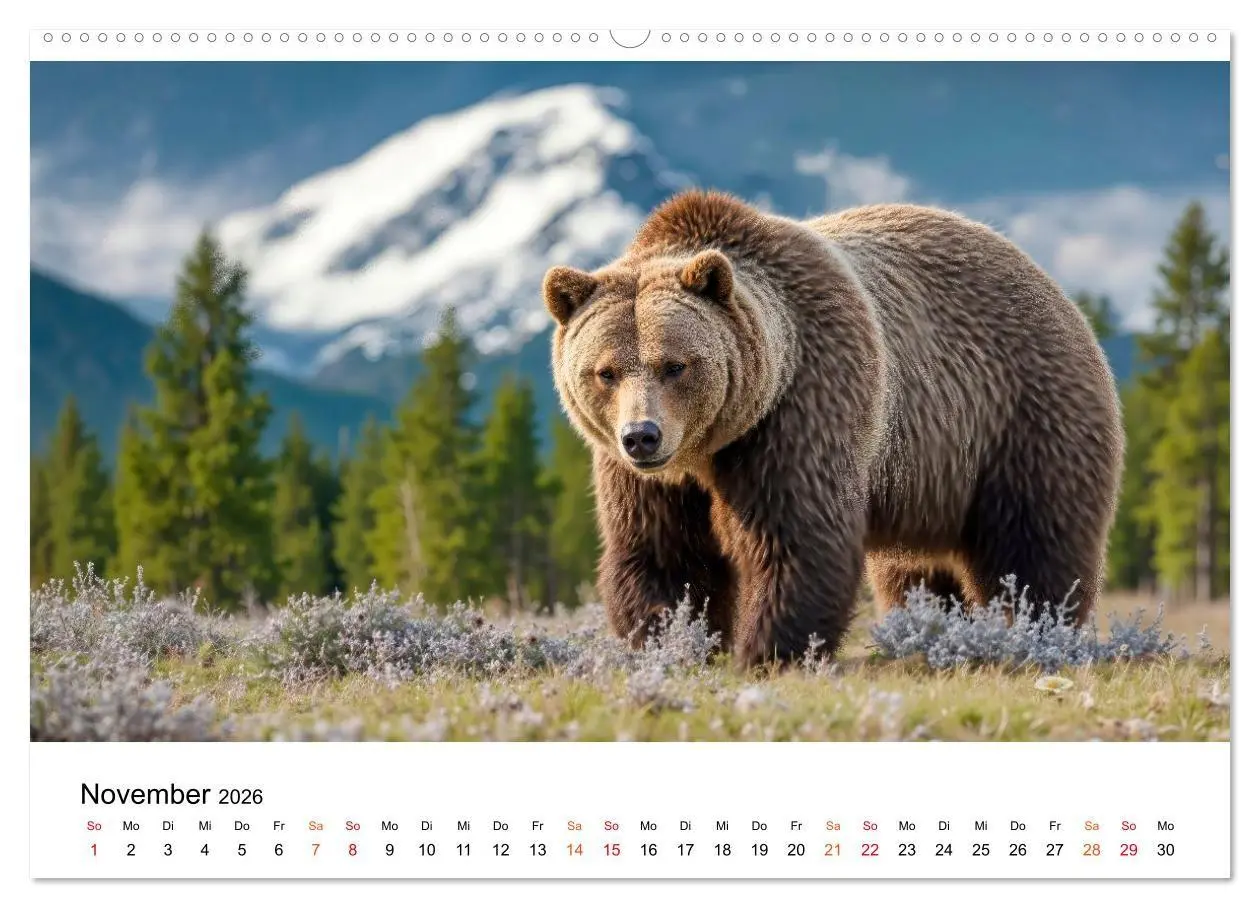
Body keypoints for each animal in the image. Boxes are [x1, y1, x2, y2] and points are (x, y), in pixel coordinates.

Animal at [542, 190, 1124, 667]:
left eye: (675, 365)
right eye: (606, 371)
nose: (642, 435)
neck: (709, 448)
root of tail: (1056, 290)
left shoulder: (804, 404)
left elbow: (795, 537)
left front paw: (767, 652)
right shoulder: (647, 480)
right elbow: (664, 555)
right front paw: (675, 643)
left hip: (1020, 415)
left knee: (1034, 544)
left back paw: (1034, 631)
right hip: (932, 479)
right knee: (915, 572)